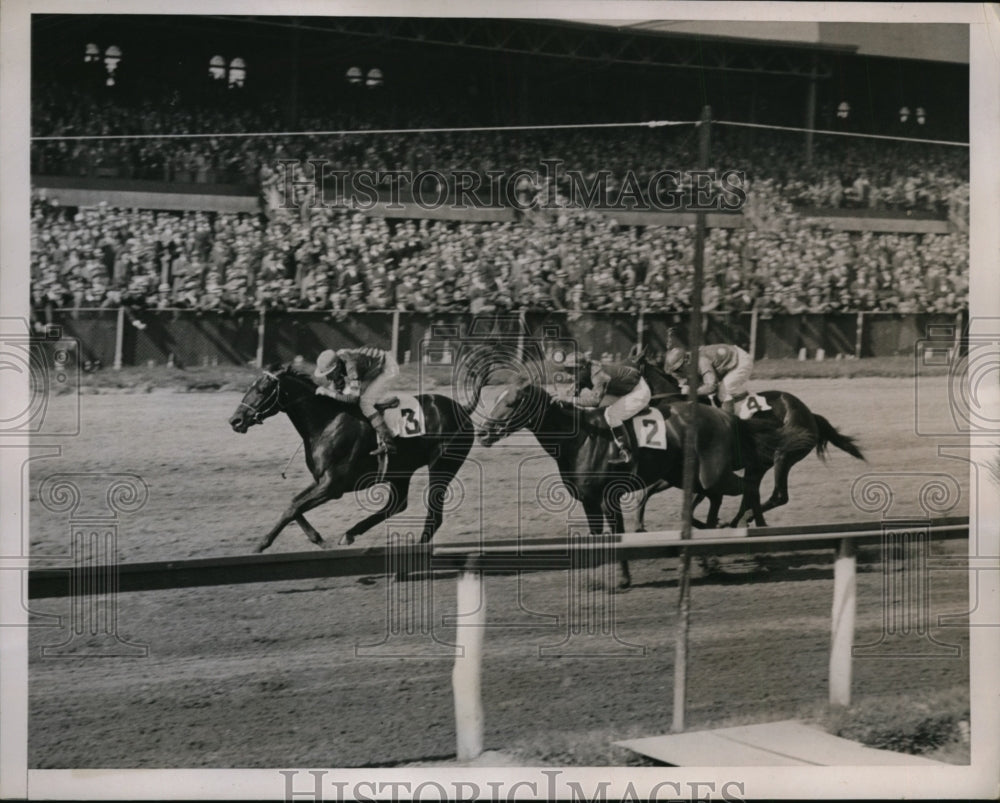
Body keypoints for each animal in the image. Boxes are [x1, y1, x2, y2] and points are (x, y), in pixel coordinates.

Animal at [472, 374, 776, 588]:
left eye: (511, 402)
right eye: (496, 397)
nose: (483, 433)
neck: (580, 439)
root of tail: (727, 416)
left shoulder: (608, 497)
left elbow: (618, 536)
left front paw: (622, 579)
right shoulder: (589, 501)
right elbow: (598, 536)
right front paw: (596, 579)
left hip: (712, 474)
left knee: (746, 488)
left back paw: (755, 539)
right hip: (688, 476)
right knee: (717, 498)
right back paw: (709, 553)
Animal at [628, 344, 864, 528]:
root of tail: (810, 414)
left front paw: (708, 521)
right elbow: (650, 491)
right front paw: (639, 525)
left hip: (783, 457)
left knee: (778, 495)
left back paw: (744, 520)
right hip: (758, 464)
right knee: (752, 492)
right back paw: (742, 521)